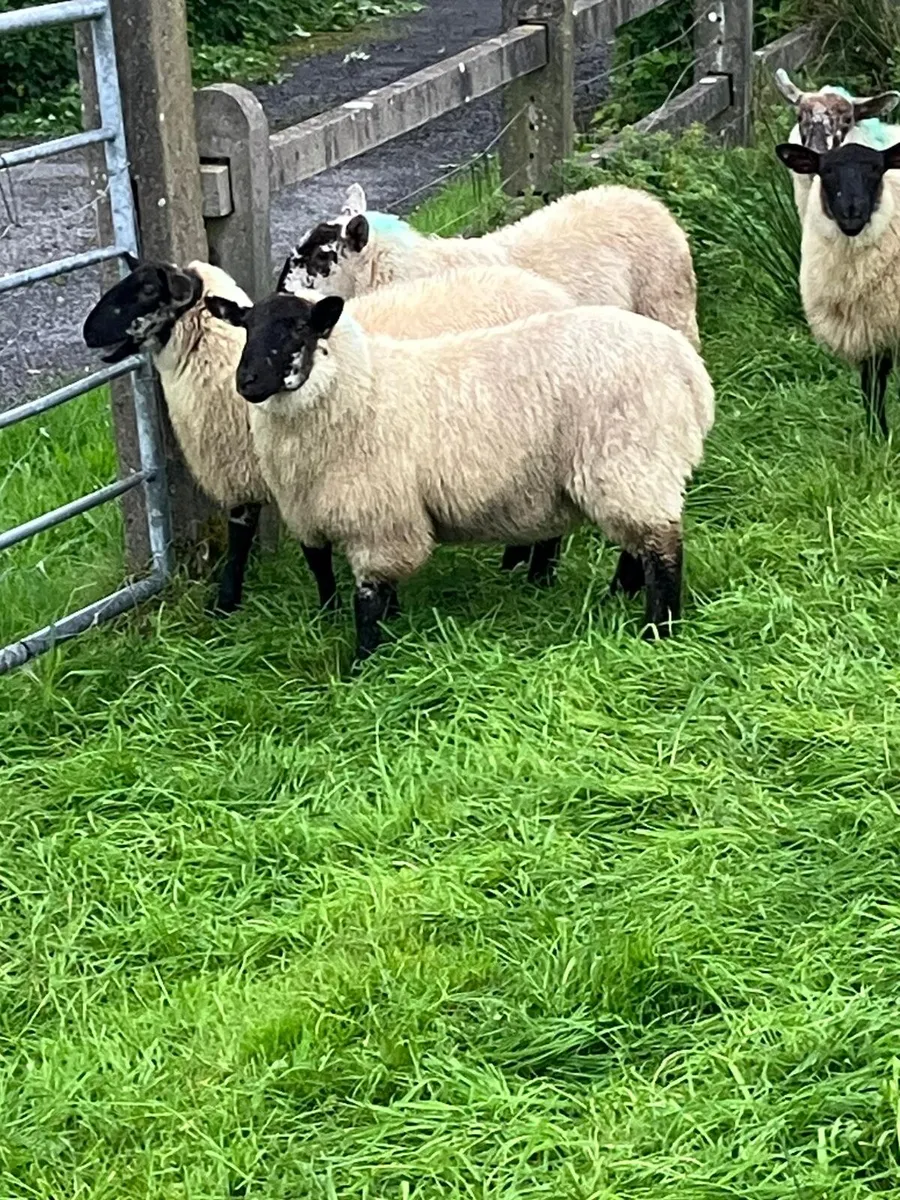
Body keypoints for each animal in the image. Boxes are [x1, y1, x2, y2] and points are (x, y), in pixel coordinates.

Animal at [206, 288, 715, 663]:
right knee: (638, 544)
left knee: (663, 550)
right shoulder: (312, 508)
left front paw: (363, 665)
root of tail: (689, 368)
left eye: (298, 328)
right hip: (632, 470)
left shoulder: (380, 518)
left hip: (630, 459)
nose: (247, 382)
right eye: (245, 326)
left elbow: (366, 600)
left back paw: (657, 630)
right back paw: (616, 598)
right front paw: (341, 621)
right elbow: (324, 573)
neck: (359, 386)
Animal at [775, 139, 900, 435]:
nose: (851, 212)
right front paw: (876, 435)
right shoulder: (870, 330)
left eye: (876, 169)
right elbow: (872, 387)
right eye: (827, 171)